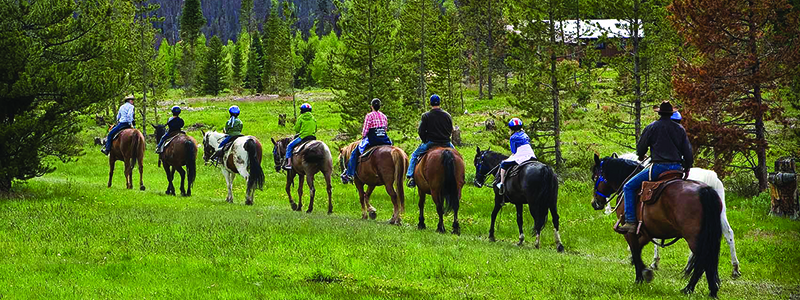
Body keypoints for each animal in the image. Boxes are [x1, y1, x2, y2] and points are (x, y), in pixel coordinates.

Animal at [588, 155, 724, 298]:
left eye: (595, 177)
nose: (595, 202)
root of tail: (705, 190)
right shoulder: (646, 233)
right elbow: (638, 250)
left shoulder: (629, 232)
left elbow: (635, 251)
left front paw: (641, 277)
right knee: (706, 261)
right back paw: (709, 291)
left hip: (695, 238)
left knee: (704, 261)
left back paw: (690, 289)